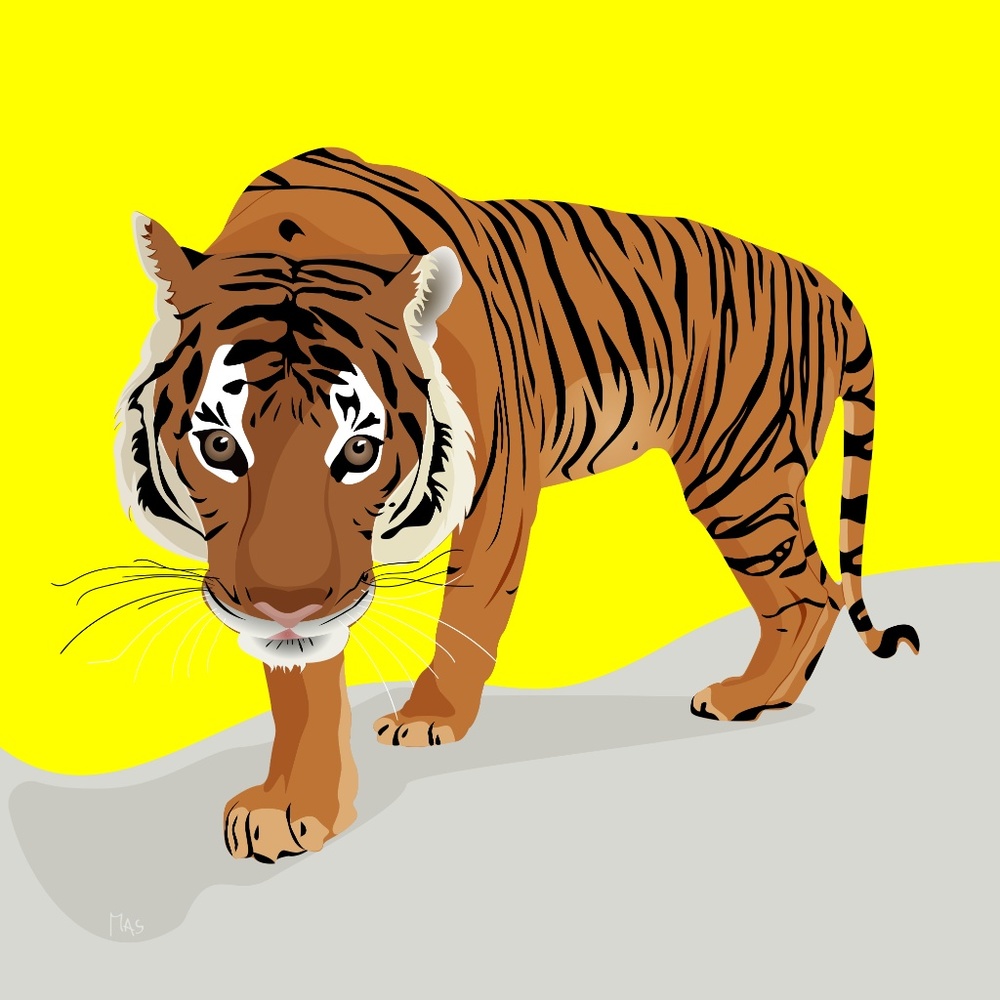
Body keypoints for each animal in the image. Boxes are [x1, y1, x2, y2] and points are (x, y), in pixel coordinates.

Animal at [118, 147, 919, 863]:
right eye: (219, 445)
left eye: (358, 450)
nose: (287, 608)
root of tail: (826, 285)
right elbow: (302, 679)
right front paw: (293, 810)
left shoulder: (499, 482)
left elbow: (467, 610)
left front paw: (429, 718)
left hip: (740, 474)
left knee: (808, 590)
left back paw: (746, 696)